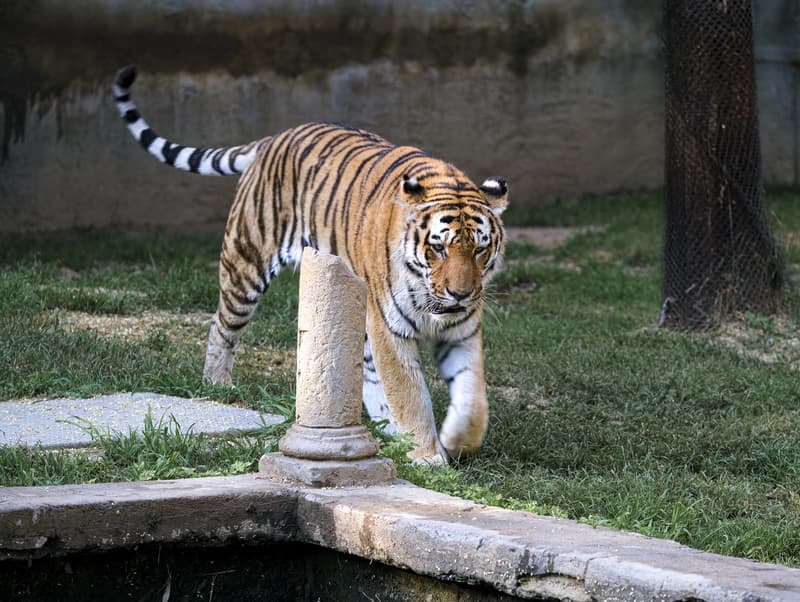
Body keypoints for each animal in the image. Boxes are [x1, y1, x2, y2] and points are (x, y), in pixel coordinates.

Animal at [112, 65, 508, 466]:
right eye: (438, 248)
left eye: (479, 249)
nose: (460, 293)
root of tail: (275, 136)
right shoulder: (389, 328)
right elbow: (409, 392)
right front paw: (427, 455)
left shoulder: (462, 329)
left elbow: (472, 397)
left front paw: (458, 441)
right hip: (246, 263)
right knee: (222, 326)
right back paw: (217, 384)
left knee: (366, 371)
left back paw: (385, 427)